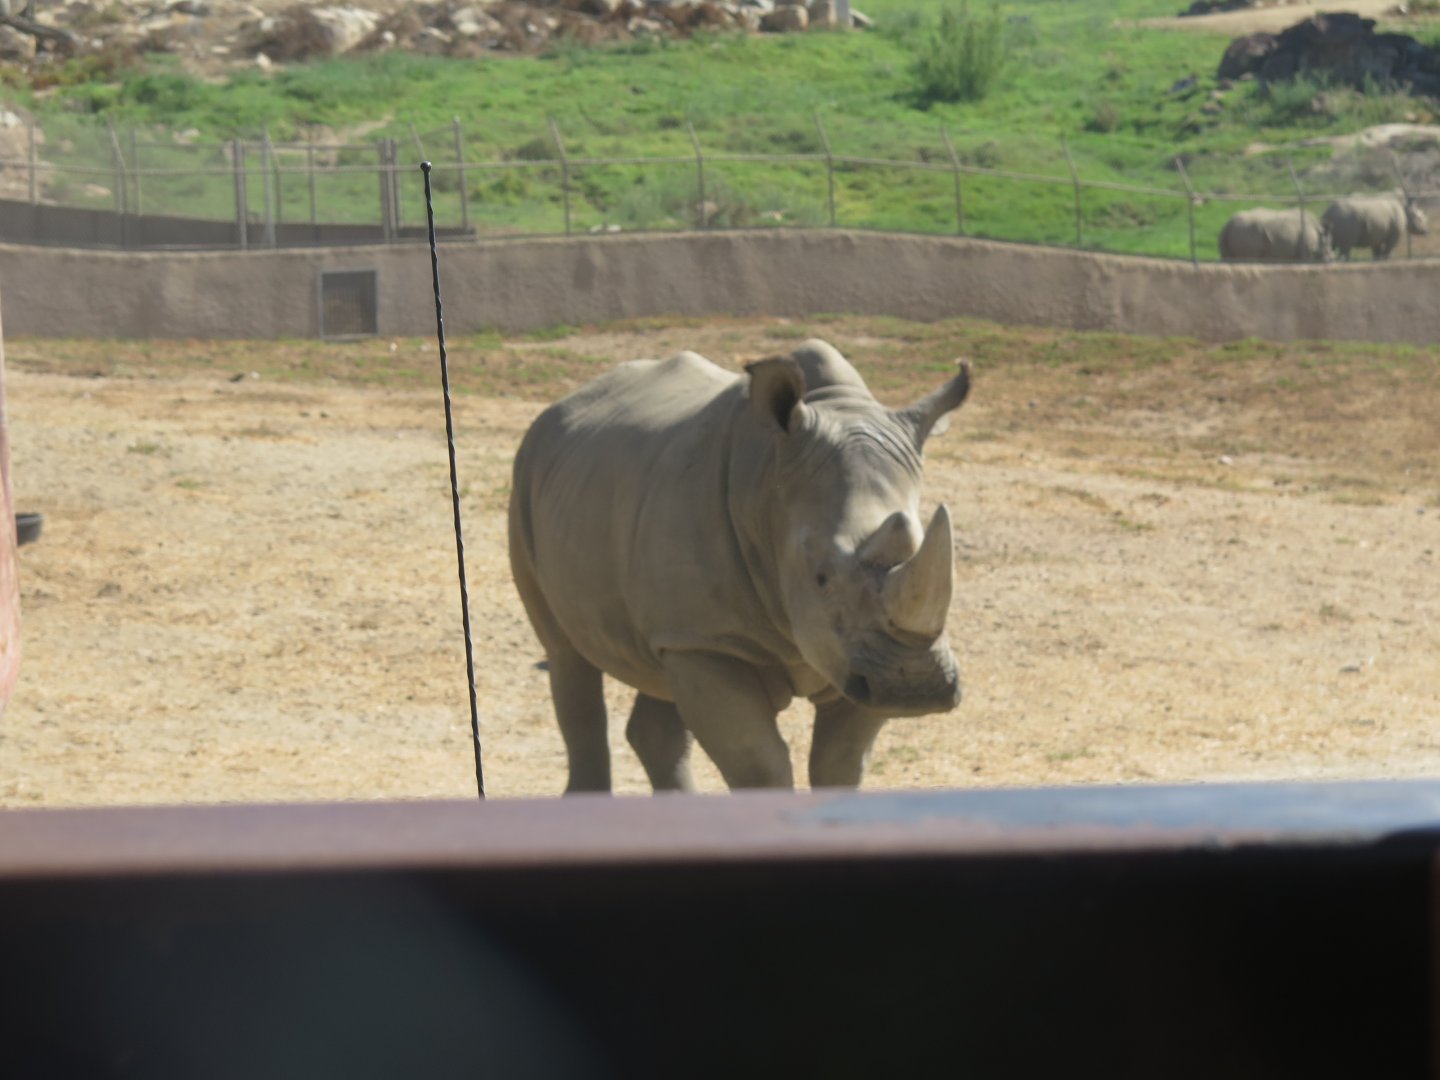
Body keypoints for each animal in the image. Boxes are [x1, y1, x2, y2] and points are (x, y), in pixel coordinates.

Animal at [508, 339, 970, 793]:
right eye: (821, 577)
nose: (915, 686)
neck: (769, 486)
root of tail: (563, 403)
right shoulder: (709, 641)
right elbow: (759, 764)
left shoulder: (854, 661)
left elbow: (839, 764)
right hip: (526, 478)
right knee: (566, 655)